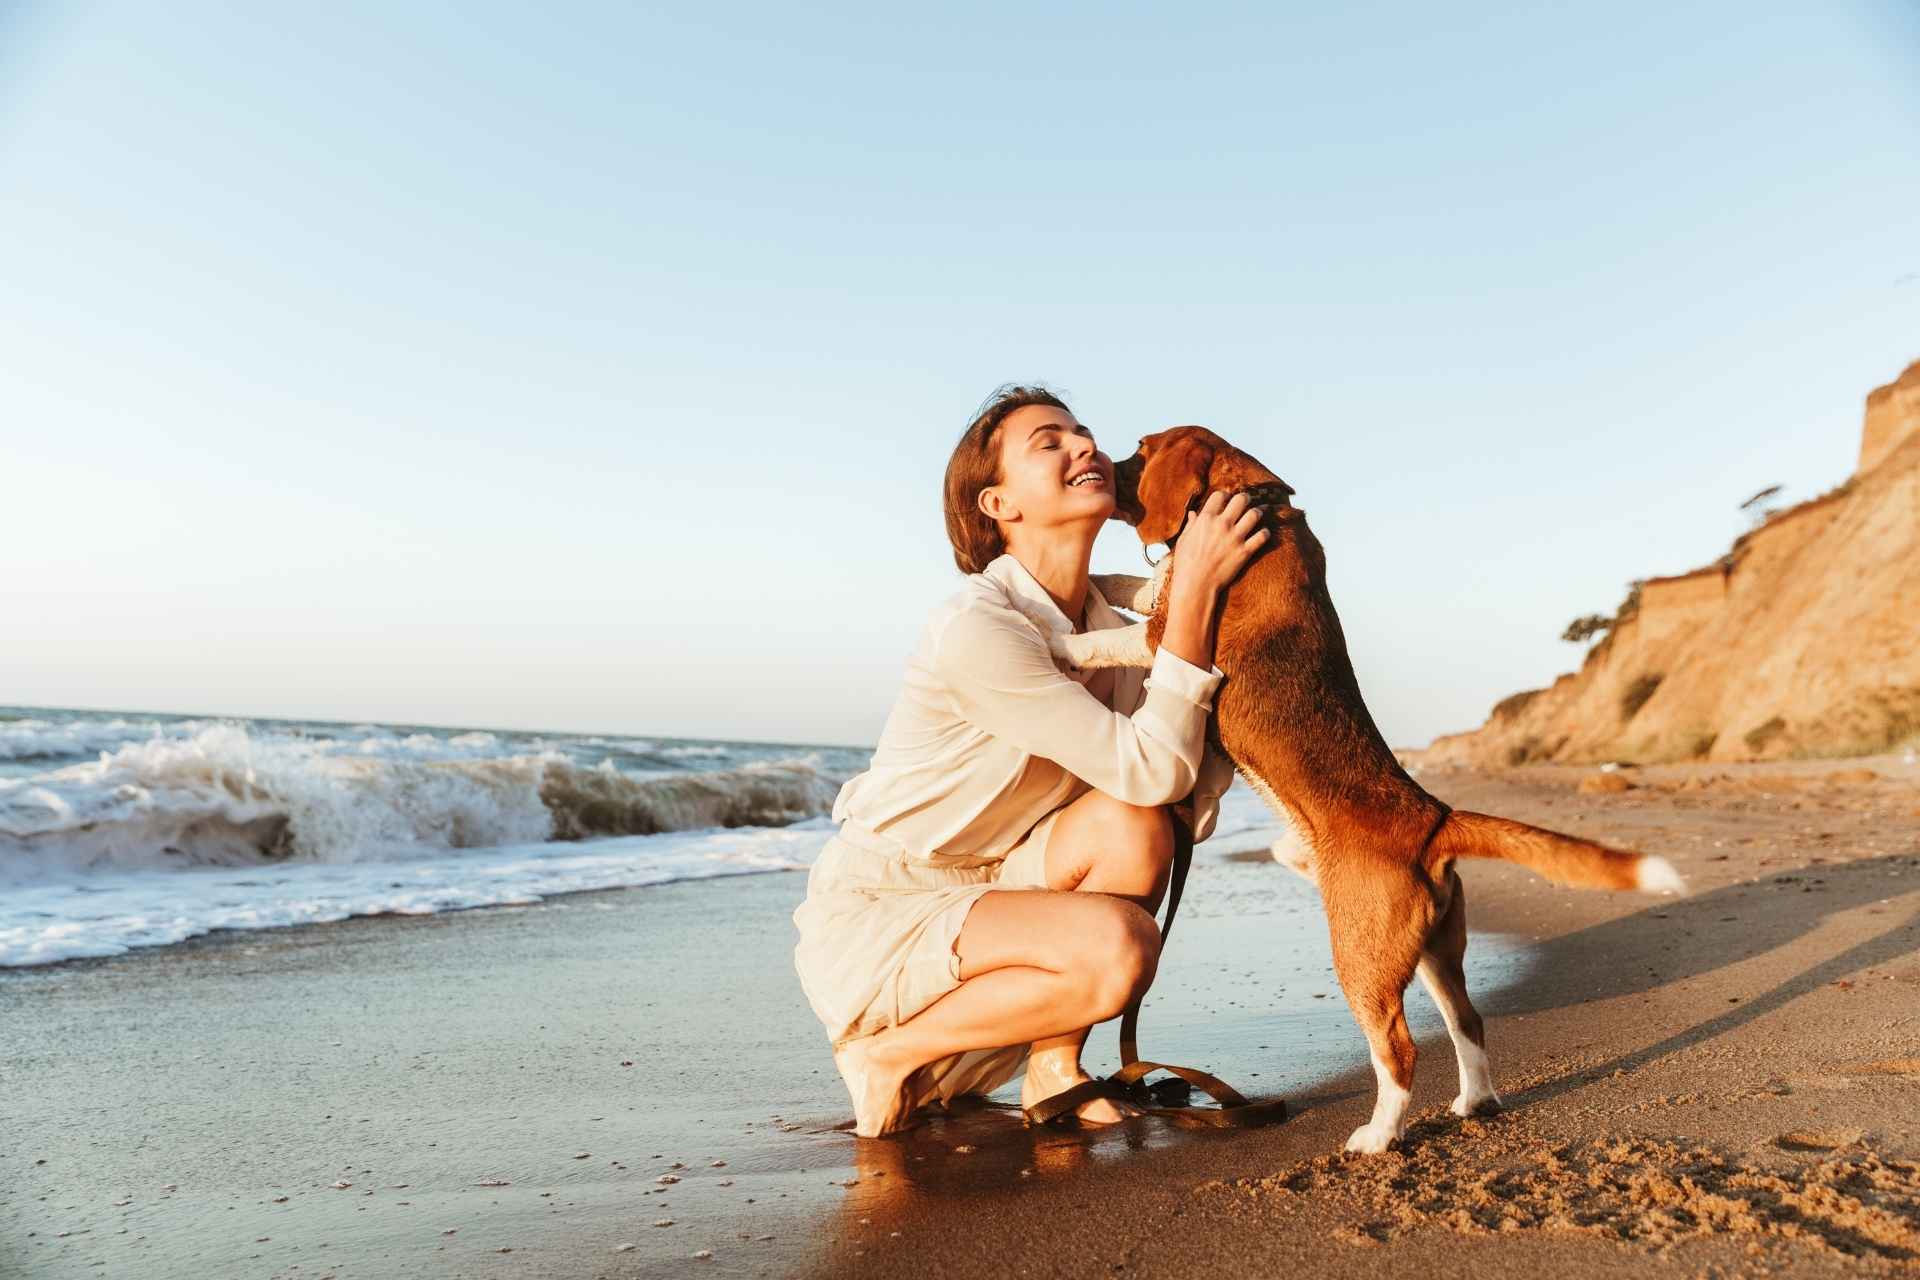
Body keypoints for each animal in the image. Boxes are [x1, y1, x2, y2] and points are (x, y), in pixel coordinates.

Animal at [1021, 426, 1681, 1159]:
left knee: (1399, 1050)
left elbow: (1109, 634)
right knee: (1469, 1021)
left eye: (1139, 450)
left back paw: (1378, 1135)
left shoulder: (1166, 636)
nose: (1102, 470)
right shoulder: (1164, 602)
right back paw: (1474, 1101)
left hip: (1361, 957)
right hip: (1434, 951)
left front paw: (1061, 640)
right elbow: (1133, 584)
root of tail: (1432, 817)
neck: (1261, 501)